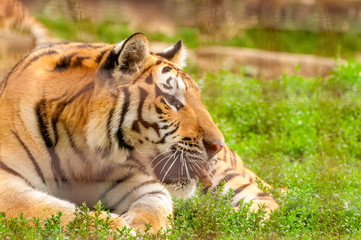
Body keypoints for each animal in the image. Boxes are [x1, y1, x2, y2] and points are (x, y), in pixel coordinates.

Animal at [0, 32, 278, 233]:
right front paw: (112, 227)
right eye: (171, 101)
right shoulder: (6, 183)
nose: (217, 144)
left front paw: (141, 228)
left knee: (268, 202)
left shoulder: (141, 182)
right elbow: (54, 212)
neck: (80, 150)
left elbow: (156, 205)